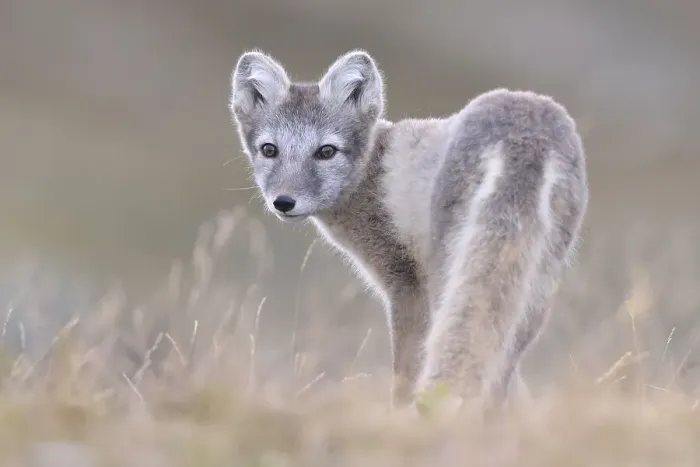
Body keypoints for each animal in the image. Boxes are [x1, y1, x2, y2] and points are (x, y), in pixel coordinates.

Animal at [229, 49, 588, 412]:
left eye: (326, 151)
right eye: (269, 149)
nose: (283, 202)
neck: (371, 173)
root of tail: (527, 137)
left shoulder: (406, 284)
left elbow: (405, 368)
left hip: (450, 273)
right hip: (537, 288)